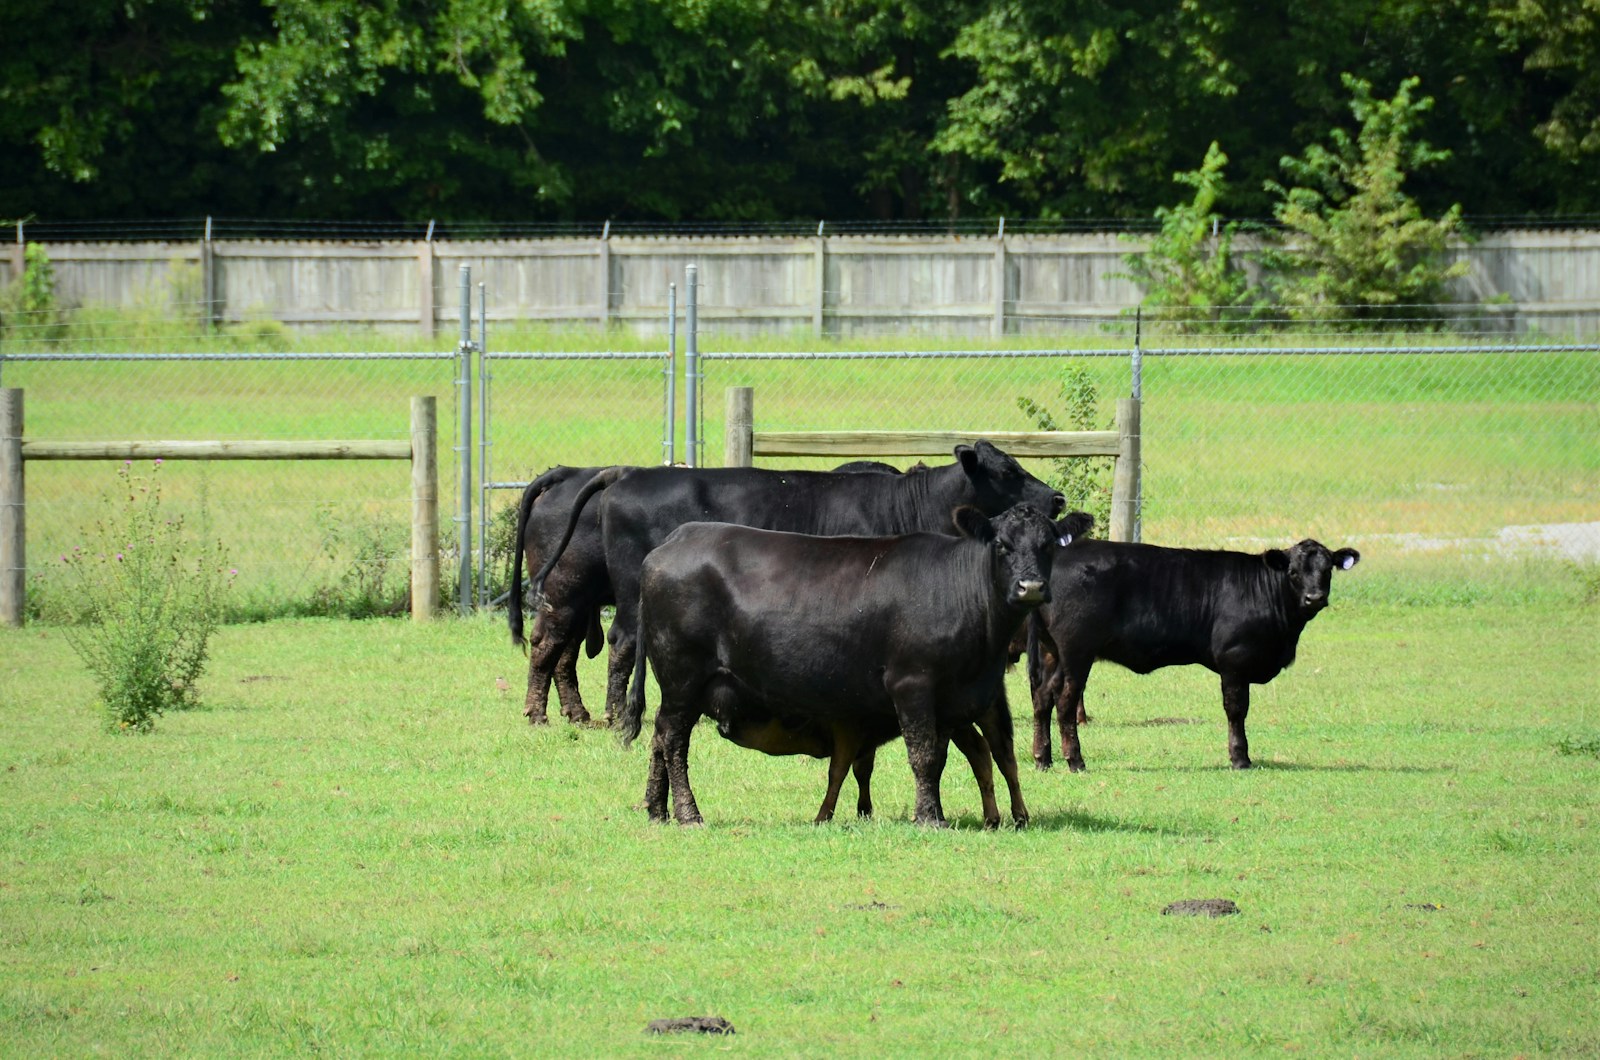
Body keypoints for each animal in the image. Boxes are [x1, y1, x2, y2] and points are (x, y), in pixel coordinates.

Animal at [530, 441, 1066, 726]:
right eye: (1008, 471)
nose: (1057, 498)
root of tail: (624, 475)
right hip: (616, 595)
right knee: (617, 641)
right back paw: (612, 715)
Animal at [624, 503, 1063, 827]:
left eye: (1049, 546)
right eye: (1002, 545)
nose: (1031, 587)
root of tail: (676, 539)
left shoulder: (954, 702)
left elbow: (952, 755)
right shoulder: (913, 685)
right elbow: (925, 756)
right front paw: (930, 818)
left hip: (681, 688)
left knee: (660, 738)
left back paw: (657, 811)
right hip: (683, 678)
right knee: (673, 740)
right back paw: (688, 814)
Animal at [1028, 533, 1360, 772]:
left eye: (1327, 569)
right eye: (1293, 571)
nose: (1314, 598)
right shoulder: (1234, 661)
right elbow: (1237, 710)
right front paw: (1240, 759)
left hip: (1051, 650)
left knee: (1042, 697)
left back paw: (1043, 759)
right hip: (1076, 652)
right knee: (1065, 700)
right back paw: (1075, 761)